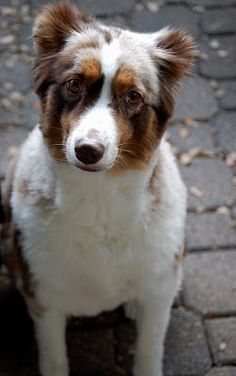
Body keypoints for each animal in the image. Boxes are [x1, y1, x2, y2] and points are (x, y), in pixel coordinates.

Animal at [7, 1, 195, 374]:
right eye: (74, 84)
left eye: (133, 96)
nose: (88, 150)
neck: (98, 200)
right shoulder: (43, 297)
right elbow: (54, 358)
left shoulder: (159, 291)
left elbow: (150, 350)